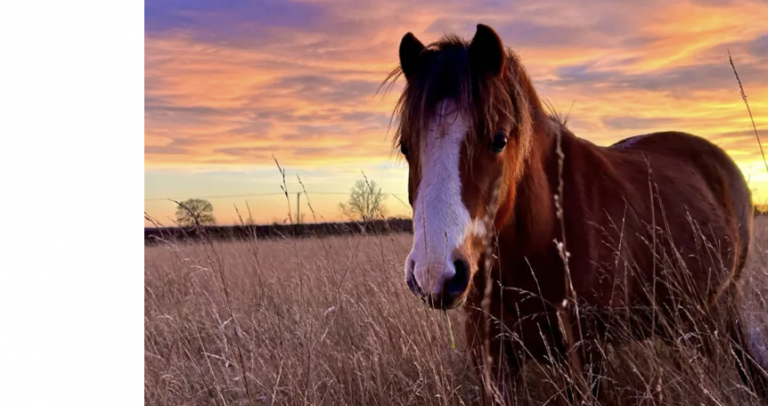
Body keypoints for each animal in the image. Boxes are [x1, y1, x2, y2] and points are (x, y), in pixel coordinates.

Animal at [388, 23, 768, 404]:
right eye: (406, 146)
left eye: (499, 140)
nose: (434, 274)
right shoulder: (492, 355)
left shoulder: (586, 350)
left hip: (716, 310)